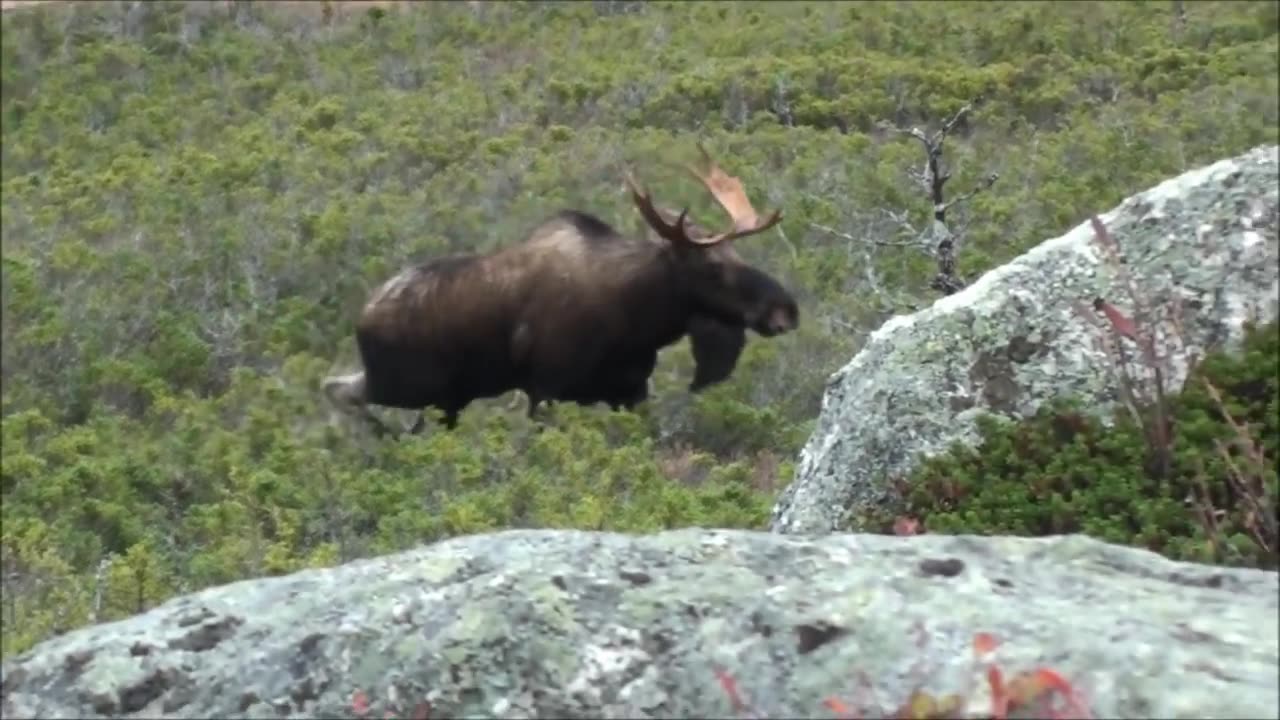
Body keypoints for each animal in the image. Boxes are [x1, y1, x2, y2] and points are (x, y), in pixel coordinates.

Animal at [325, 142, 793, 435]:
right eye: (713, 267)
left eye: (738, 255)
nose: (785, 309)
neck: (636, 318)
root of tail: (361, 318)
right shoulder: (545, 389)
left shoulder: (630, 390)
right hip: (403, 384)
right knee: (337, 390)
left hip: (440, 398)